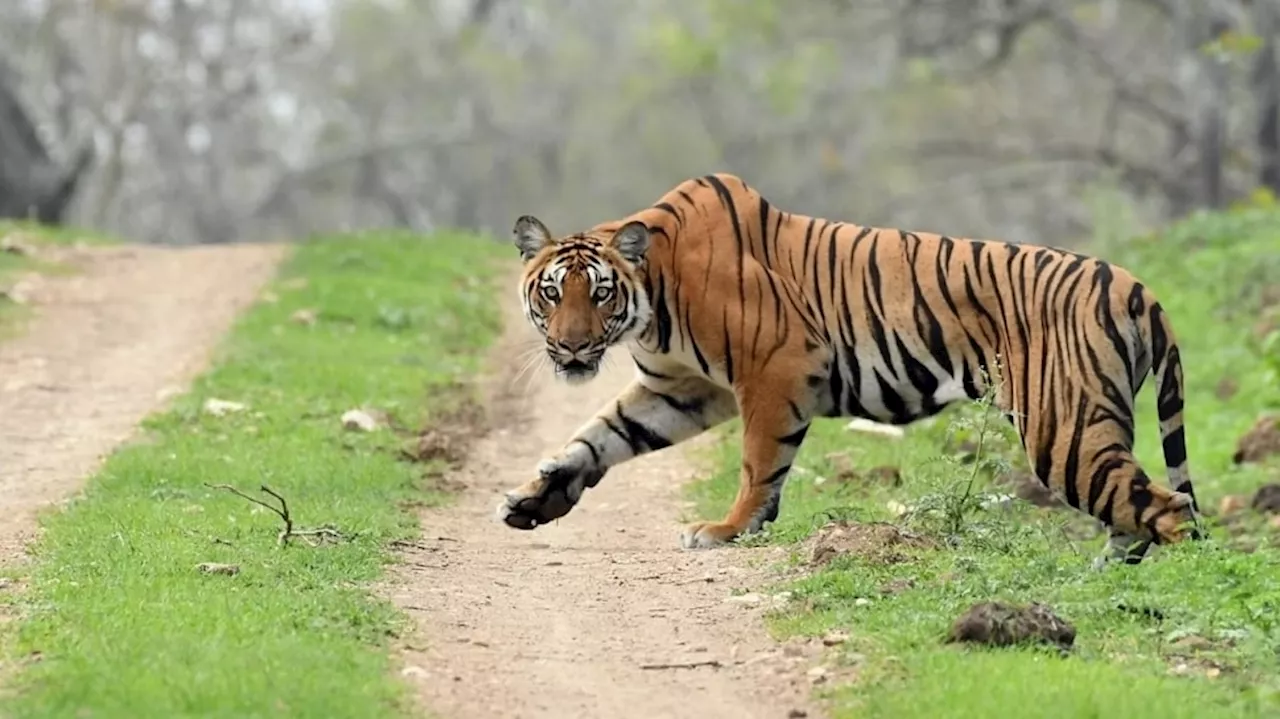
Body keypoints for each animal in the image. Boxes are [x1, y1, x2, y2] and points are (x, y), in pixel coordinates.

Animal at [494, 170, 1203, 562]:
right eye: (552, 293)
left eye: (599, 294)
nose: (573, 348)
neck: (652, 296)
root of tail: (1140, 289)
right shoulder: (680, 388)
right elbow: (597, 437)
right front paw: (534, 499)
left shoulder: (774, 367)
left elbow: (758, 463)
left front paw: (727, 530)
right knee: (1139, 514)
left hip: (1065, 426)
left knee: (1169, 509)